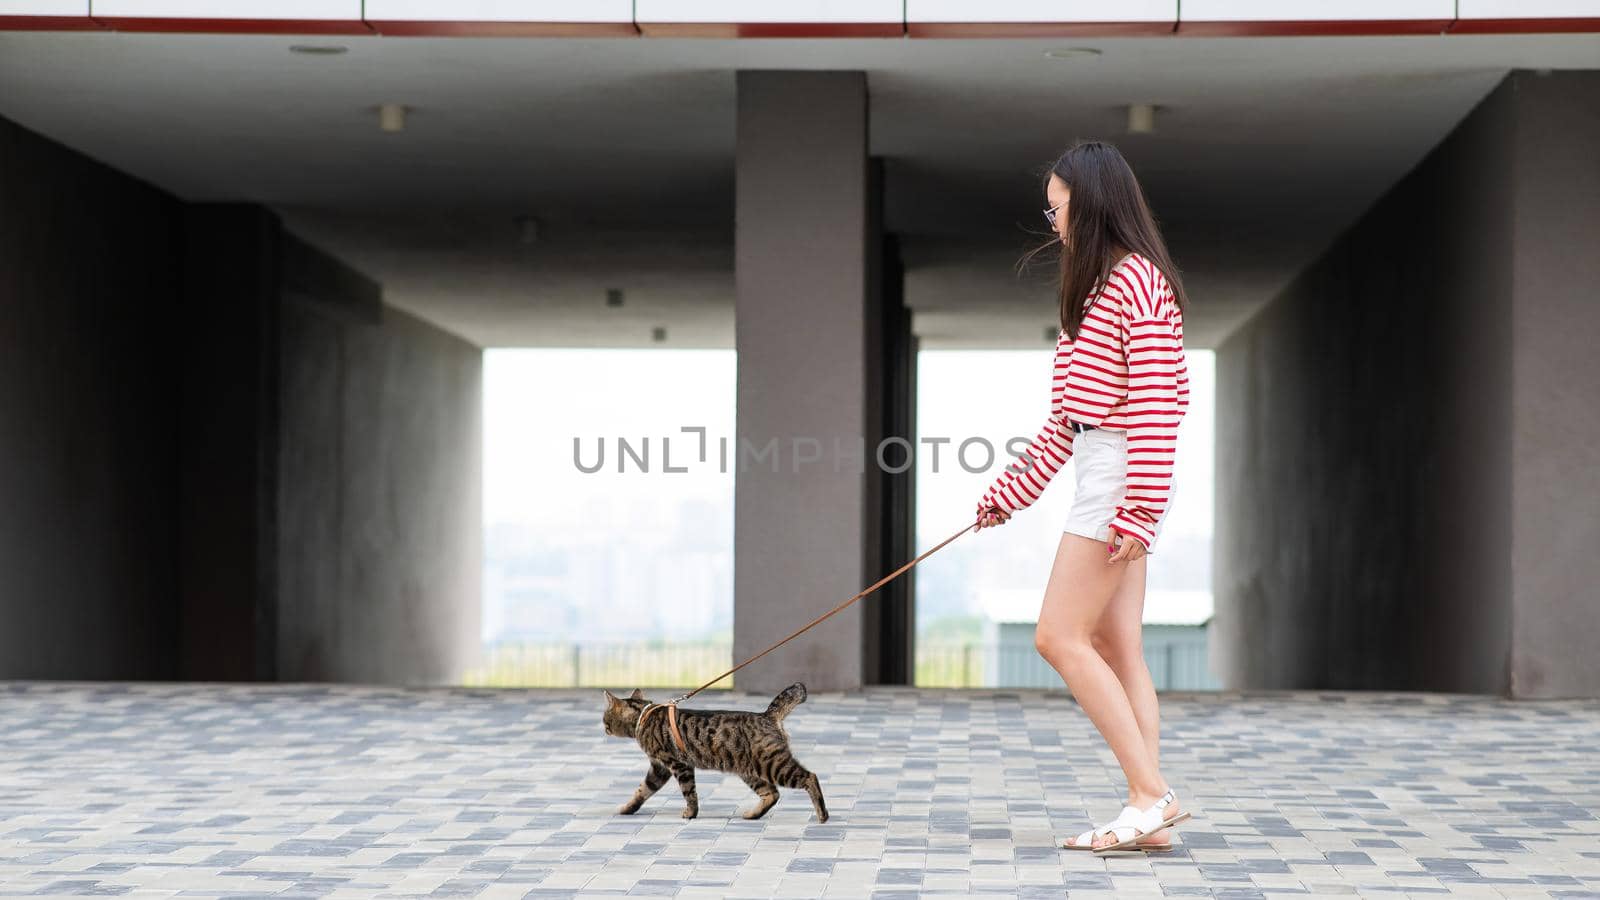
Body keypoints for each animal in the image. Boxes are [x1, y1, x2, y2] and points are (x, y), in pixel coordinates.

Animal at [598, 679, 825, 819]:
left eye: (604, 718)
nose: (603, 727)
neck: (644, 716)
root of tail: (766, 715)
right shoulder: (659, 768)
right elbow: (642, 790)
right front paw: (627, 808)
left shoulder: (678, 764)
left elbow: (689, 792)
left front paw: (690, 814)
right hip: (750, 771)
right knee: (772, 794)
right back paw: (752, 815)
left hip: (773, 764)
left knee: (809, 777)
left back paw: (823, 815)